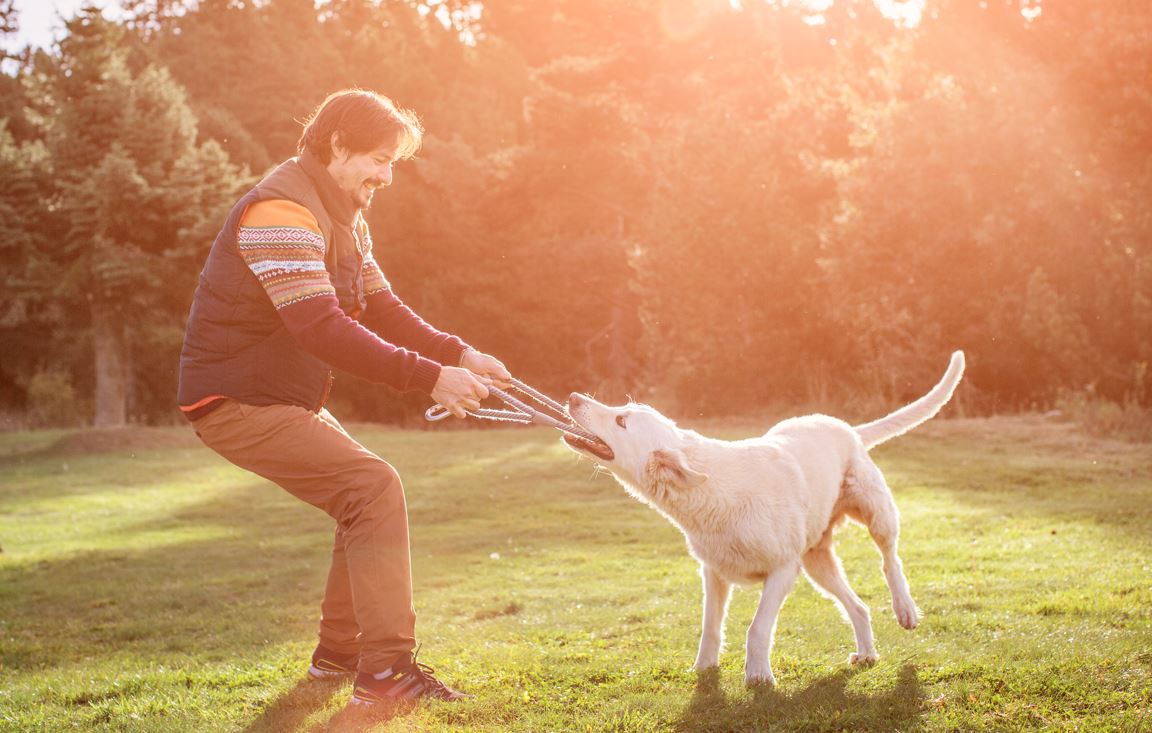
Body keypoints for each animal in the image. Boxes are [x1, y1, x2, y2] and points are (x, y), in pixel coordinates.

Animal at [562, 352, 967, 682]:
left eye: (621, 420)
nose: (573, 397)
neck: (711, 489)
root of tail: (845, 427)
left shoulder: (782, 572)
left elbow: (757, 629)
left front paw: (758, 677)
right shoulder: (714, 574)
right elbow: (711, 627)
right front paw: (704, 669)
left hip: (875, 513)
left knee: (890, 559)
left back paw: (905, 610)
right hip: (817, 563)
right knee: (859, 606)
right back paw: (867, 654)